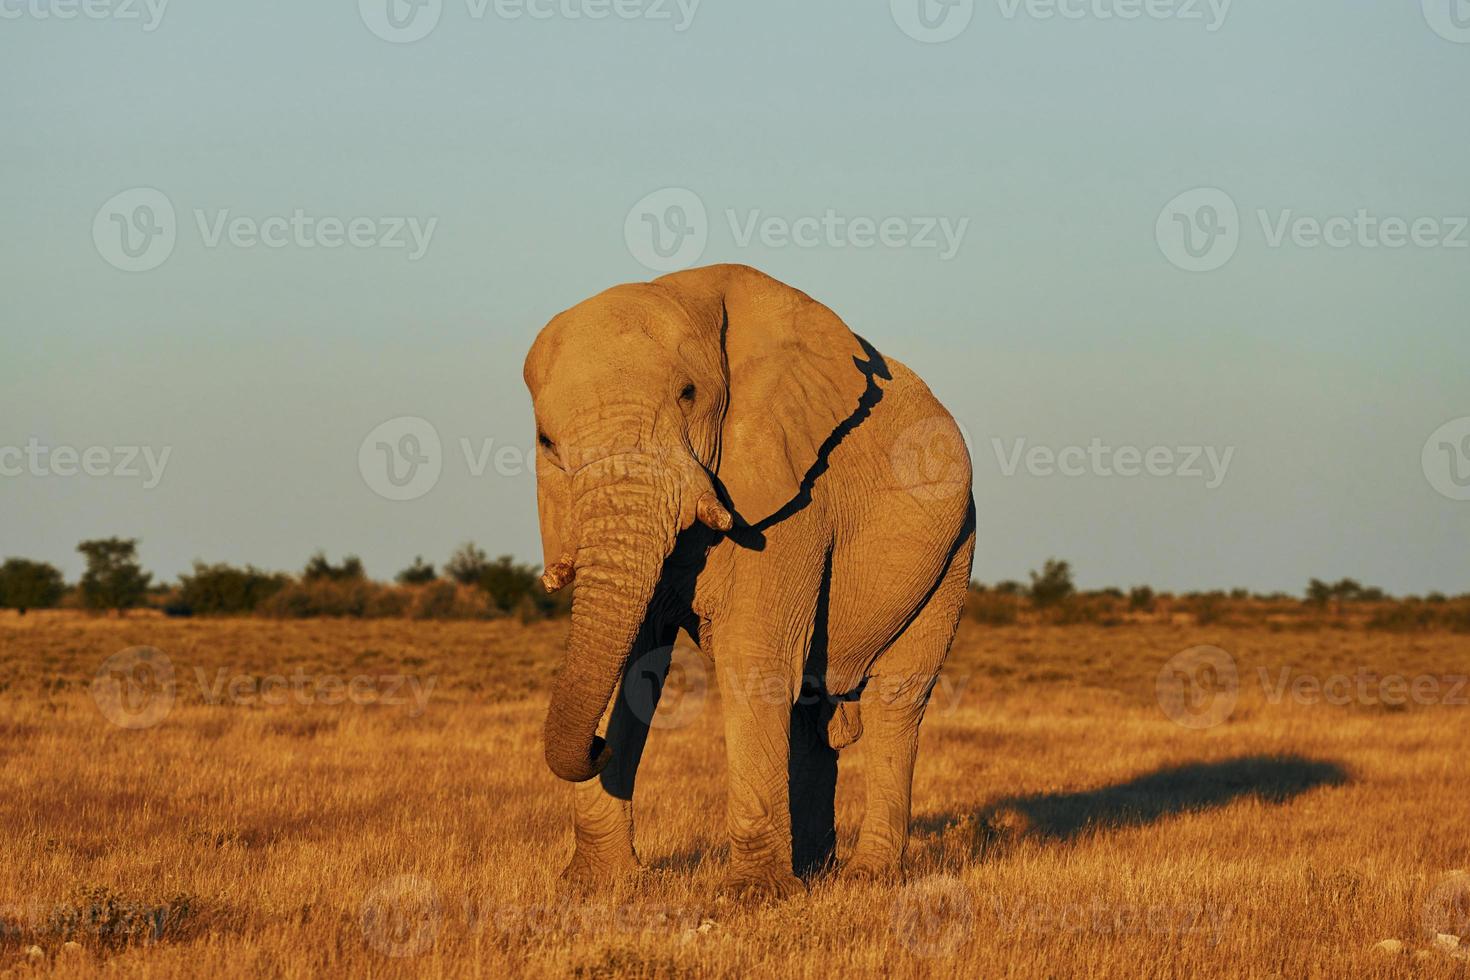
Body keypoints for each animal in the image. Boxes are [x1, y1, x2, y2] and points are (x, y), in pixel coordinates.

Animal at [523, 264, 970, 899]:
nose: (596, 746)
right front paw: (594, 887)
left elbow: (754, 654)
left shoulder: (794, 497)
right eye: (546, 442)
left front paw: (754, 896)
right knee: (810, 711)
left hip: (955, 551)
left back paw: (867, 878)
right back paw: (816, 870)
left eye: (688, 395)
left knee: (896, 701)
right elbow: (635, 659)